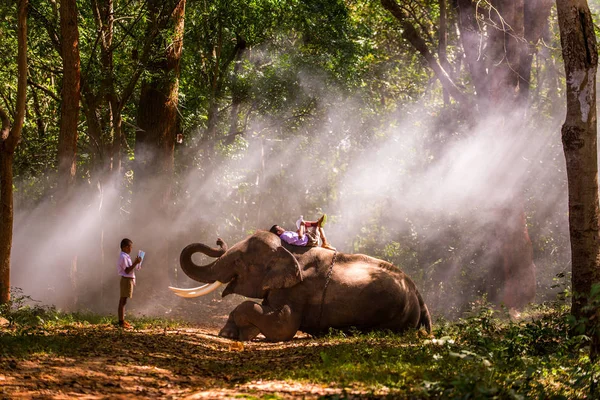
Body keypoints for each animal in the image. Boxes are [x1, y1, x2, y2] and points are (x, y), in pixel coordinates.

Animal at [169, 231, 432, 340]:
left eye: (239, 262)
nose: (218, 240)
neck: (288, 250)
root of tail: (419, 296)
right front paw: (231, 334)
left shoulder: (298, 290)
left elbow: (283, 326)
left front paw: (240, 334)